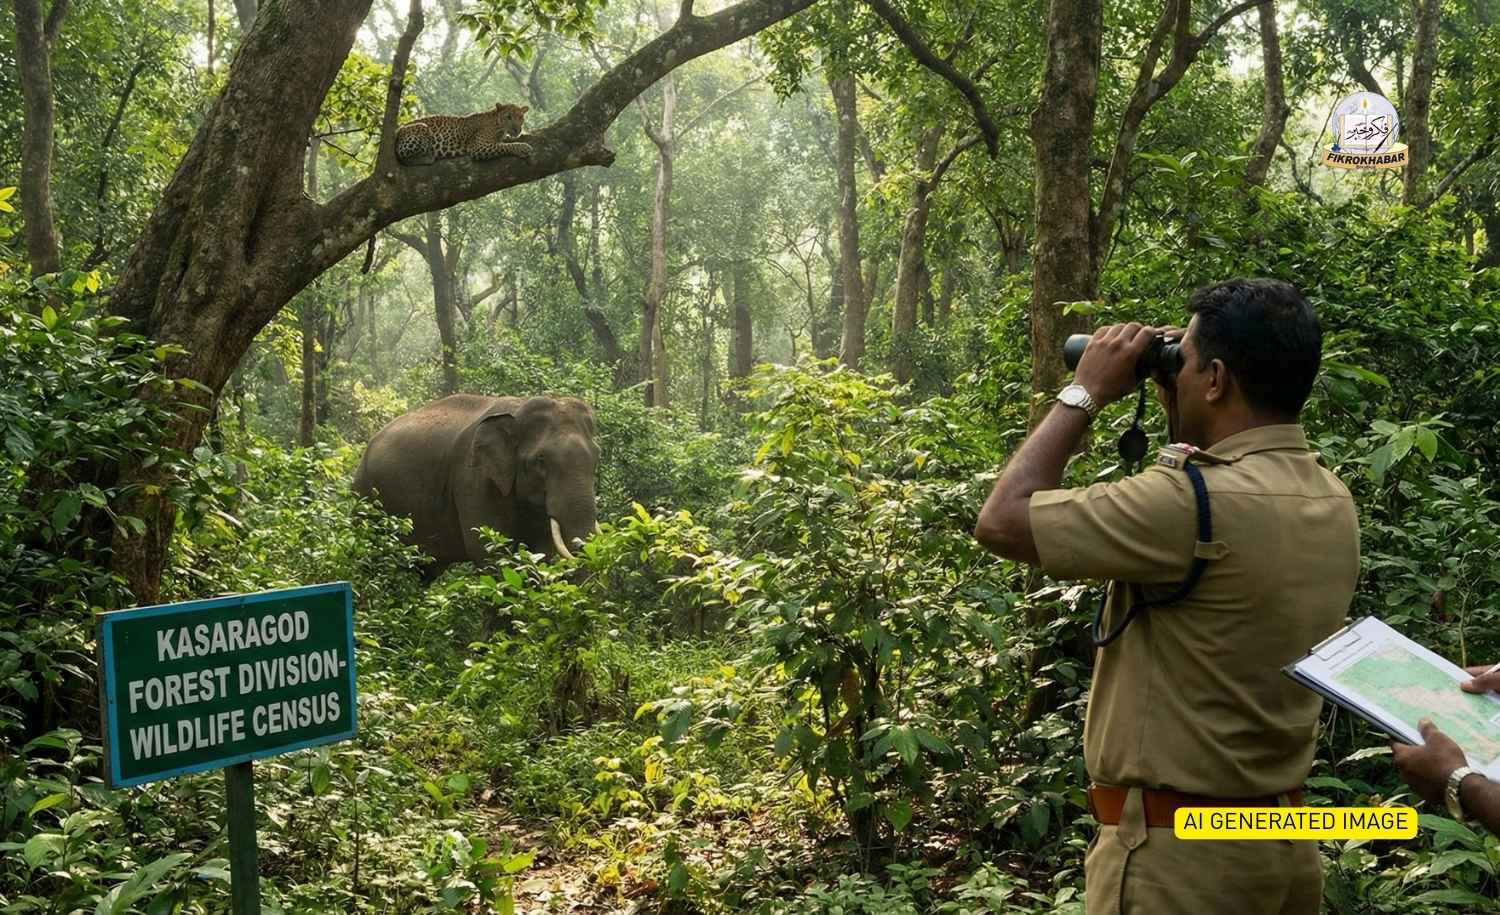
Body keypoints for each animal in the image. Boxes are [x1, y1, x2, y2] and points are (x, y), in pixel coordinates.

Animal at [353, 394, 600, 578]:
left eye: (597, 455)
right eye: (540, 460)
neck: (518, 409)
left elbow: (543, 552)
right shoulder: (473, 479)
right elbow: (489, 553)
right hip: (365, 497)